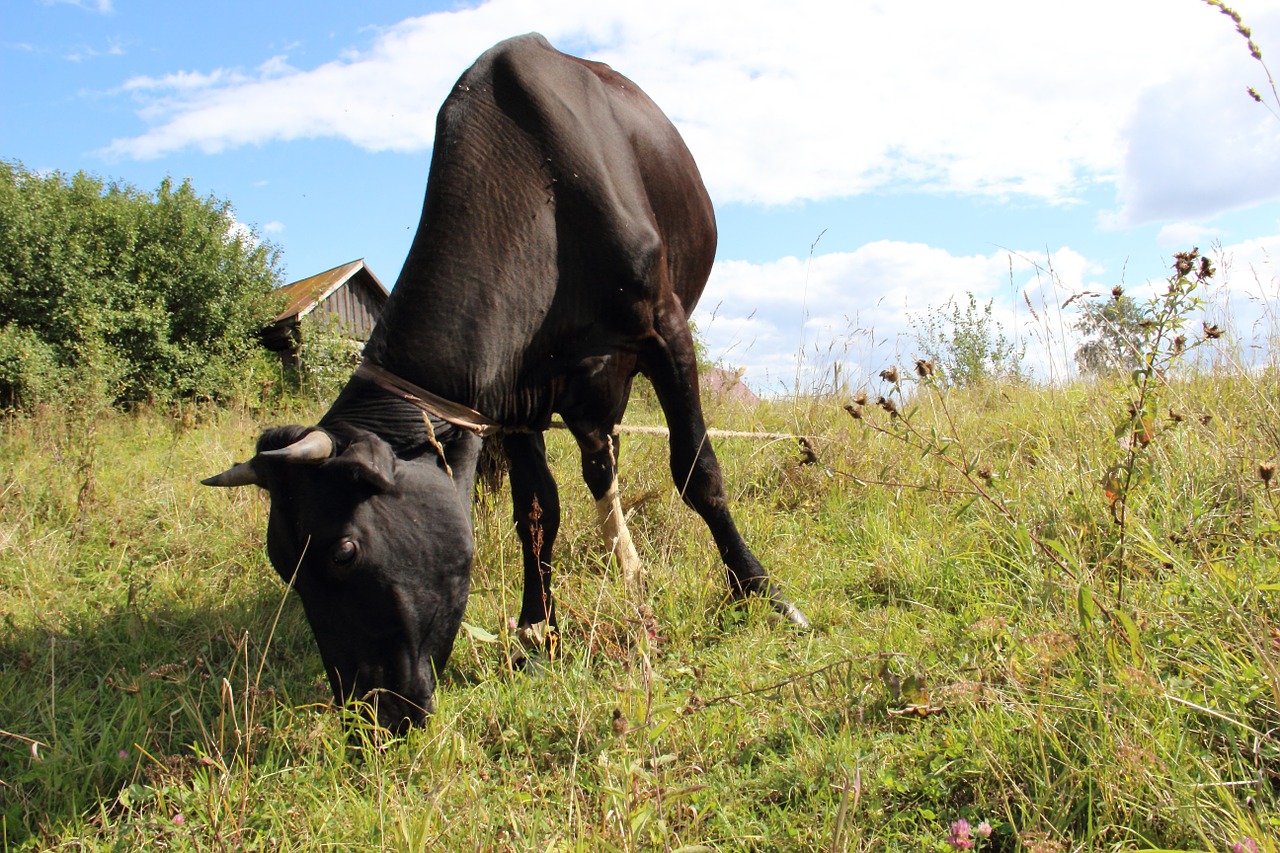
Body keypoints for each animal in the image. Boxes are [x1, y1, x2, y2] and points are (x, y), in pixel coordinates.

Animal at [203, 29, 803, 727]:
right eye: (283, 566)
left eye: (343, 552)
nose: (371, 711)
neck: (543, 198)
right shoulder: (513, 400)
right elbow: (537, 511)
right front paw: (537, 633)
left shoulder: (665, 327)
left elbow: (697, 472)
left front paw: (760, 591)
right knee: (600, 463)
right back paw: (622, 563)